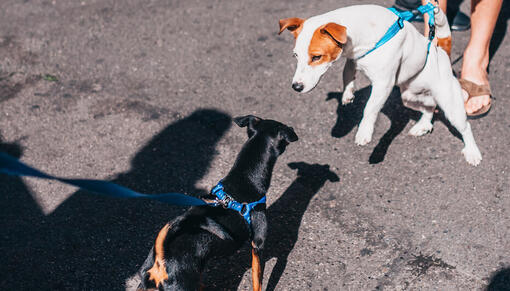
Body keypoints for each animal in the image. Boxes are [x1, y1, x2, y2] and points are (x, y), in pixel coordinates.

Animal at [278, 4, 482, 165]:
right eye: (295, 55)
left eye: (316, 57)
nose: (296, 87)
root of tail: (441, 51)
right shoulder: (353, 60)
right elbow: (347, 74)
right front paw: (347, 94)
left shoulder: (384, 84)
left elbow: (369, 108)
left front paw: (364, 133)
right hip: (409, 97)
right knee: (429, 108)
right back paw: (423, 125)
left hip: (450, 103)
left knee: (465, 127)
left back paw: (472, 152)